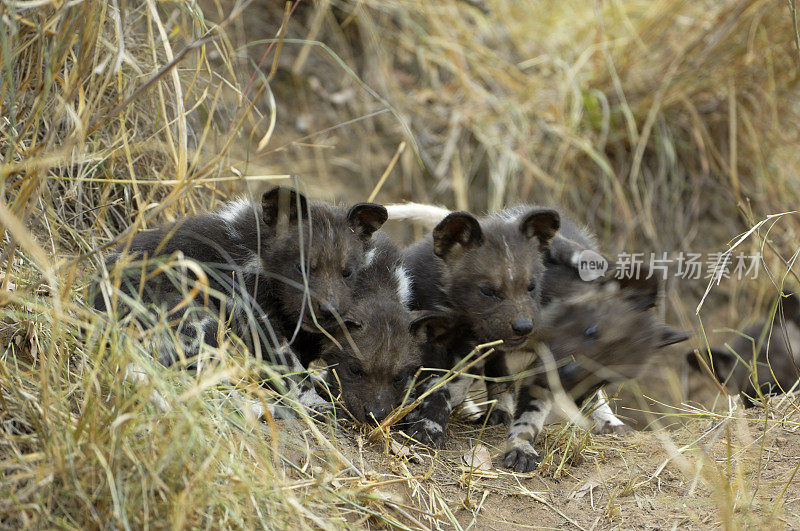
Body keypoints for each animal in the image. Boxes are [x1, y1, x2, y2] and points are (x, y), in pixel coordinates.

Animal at [94, 187, 388, 416]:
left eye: (347, 273)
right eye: (302, 268)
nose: (329, 311)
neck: (256, 248)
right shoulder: (258, 320)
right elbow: (293, 370)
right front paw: (313, 401)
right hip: (201, 322)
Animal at [396, 206, 560, 446]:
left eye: (531, 287)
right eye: (488, 291)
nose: (523, 327)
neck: (459, 314)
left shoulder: (480, 343)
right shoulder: (430, 346)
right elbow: (437, 390)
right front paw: (429, 428)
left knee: (502, 376)